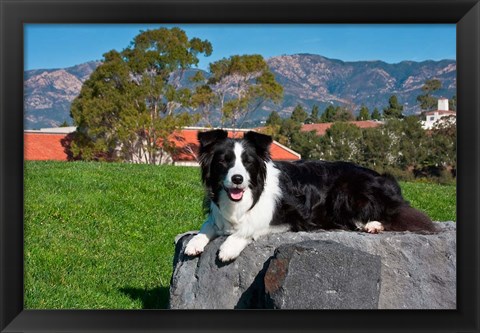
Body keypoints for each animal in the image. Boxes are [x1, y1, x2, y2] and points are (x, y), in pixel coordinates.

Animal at [186, 130, 436, 262]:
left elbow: (250, 227)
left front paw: (229, 247)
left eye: (247, 162)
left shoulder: (290, 216)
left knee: (386, 215)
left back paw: (372, 225)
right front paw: (195, 242)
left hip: (345, 190)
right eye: (224, 161)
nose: (237, 179)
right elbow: (207, 225)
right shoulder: (218, 215)